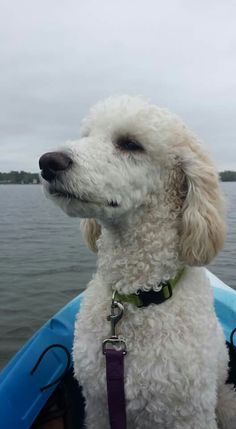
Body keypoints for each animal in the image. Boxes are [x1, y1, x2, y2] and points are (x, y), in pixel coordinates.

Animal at [39, 95, 235, 426]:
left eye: (130, 144)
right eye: (87, 135)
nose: (48, 162)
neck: (137, 297)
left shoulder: (190, 412)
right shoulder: (98, 404)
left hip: (226, 403)